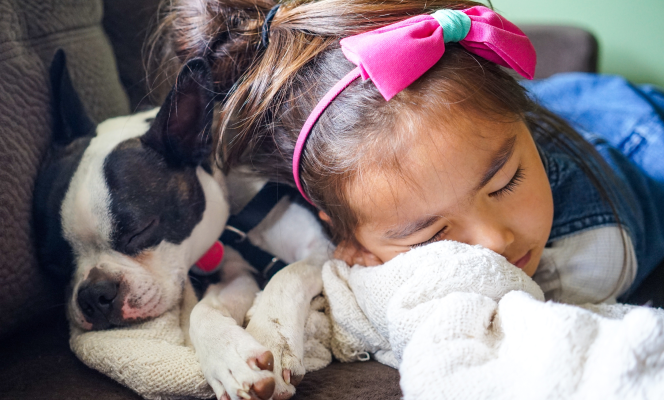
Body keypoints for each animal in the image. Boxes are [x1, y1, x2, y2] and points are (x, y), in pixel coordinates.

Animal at [33, 50, 330, 400]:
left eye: (139, 230)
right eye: (54, 263)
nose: (94, 294)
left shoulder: (324, 247)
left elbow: (288, 274)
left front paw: (272, 337)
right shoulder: (234, 271)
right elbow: (203, 309)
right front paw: (229, 359)